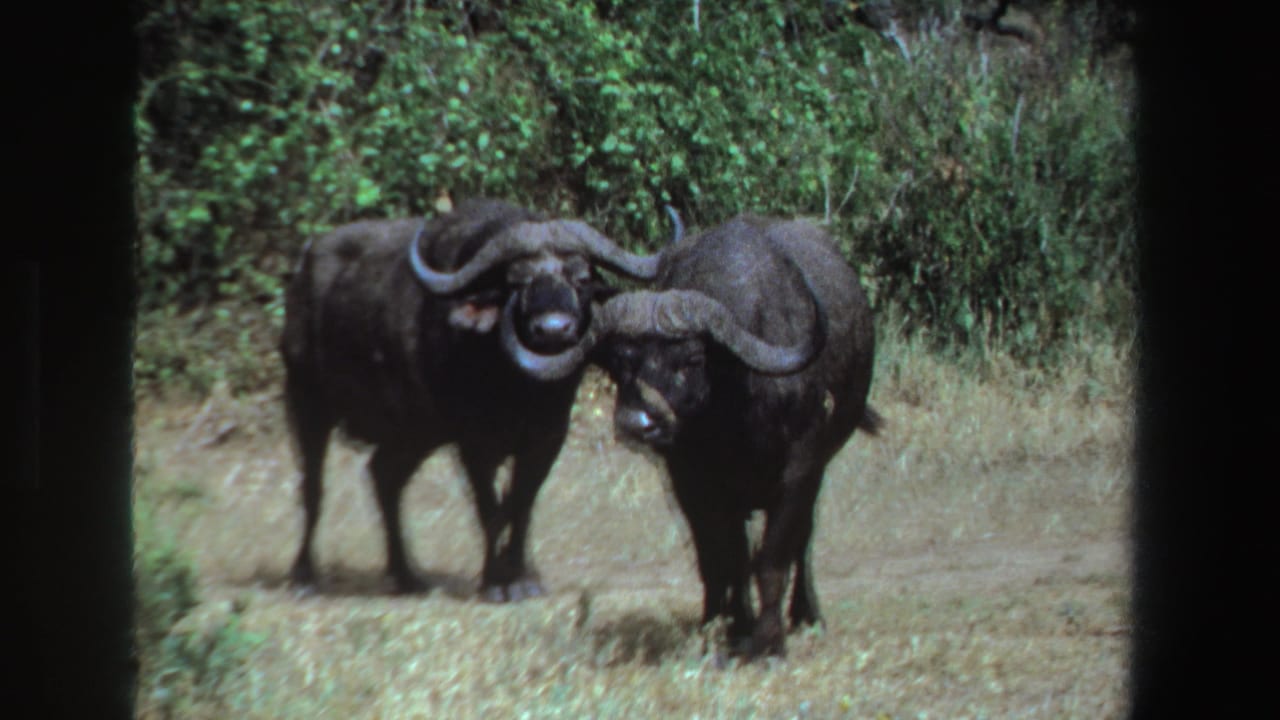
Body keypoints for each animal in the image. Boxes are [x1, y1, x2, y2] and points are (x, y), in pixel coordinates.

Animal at [280, 198, 659, 600]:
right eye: (517, 281)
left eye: (581, 278)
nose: (553, 329)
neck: (523, 390)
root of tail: (304, 268)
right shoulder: (474, 444)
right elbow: (490, 508)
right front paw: (495, 581)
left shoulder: (548, 439)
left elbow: (521, 505)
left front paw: (522, 577)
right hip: (307, 403)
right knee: (313, 487)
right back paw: (304, 575)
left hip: (414, 433)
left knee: (384, 476)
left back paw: (407, 575)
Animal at [586, 214, 883, 657]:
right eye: (623, 361)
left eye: (691, 359)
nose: (637, 423)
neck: (734, 420)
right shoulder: (690, 482)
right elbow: (721, 559)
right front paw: (729, 627)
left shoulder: (800, 472)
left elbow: (773, 558)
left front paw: (769, 642)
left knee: (804, 540)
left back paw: (807, 614)